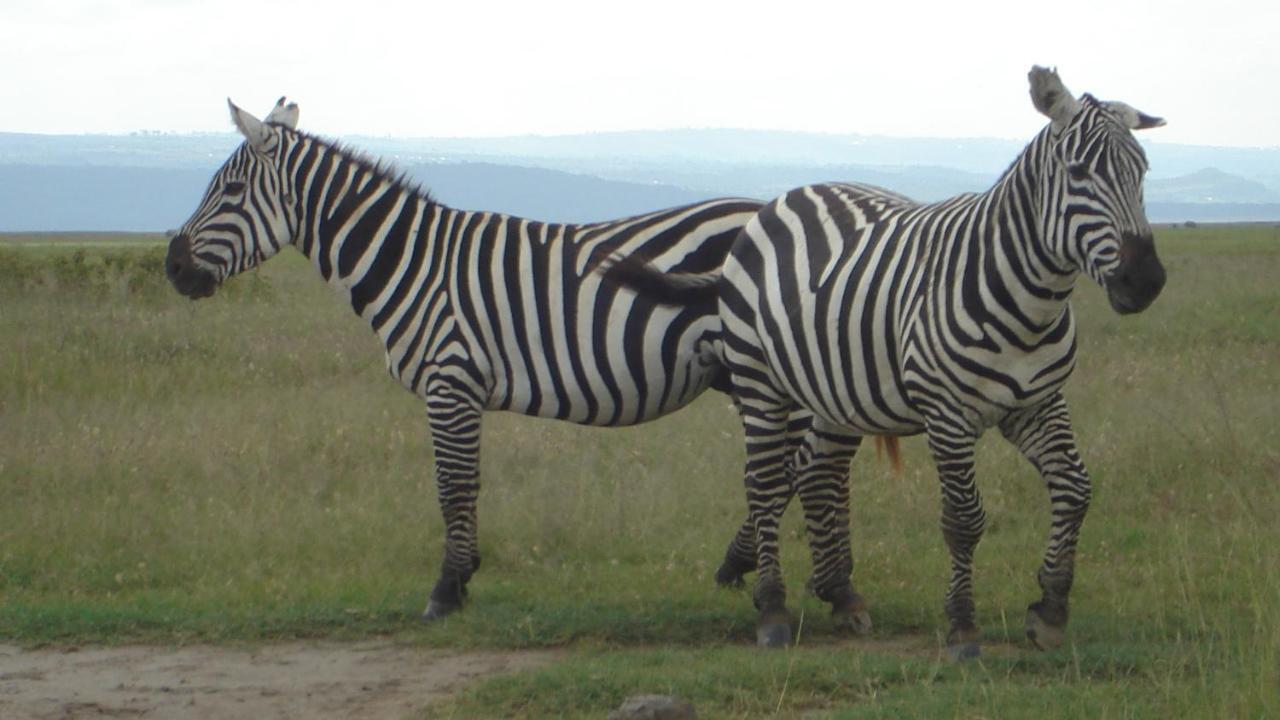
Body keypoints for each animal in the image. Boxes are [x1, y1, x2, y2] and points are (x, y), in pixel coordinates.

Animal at [165, 95, 829, 622]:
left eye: (229, 191)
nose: (172, 268)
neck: (411, 261)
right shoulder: (460, 388)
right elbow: (467, 483)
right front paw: (463, 578)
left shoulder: (449, 380)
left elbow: (453, 486)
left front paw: (447, 588)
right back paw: (740, 565)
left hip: (761, 366)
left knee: (789, 464)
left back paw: (745, 567)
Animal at [599, 65, 1172, 650]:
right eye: (1079, 173)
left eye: (1143, 171)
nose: (1144, 280)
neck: (1027, 300)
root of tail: (782, 199)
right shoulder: (947, 415)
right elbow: (964, 519)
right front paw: (963, 625)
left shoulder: (1038, 403)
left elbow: (1075, 490)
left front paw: (1051, 608)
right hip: (760, 382)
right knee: (763, 484)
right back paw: (773, 609)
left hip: (830, 390)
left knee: (812, 474)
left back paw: (837, 597)